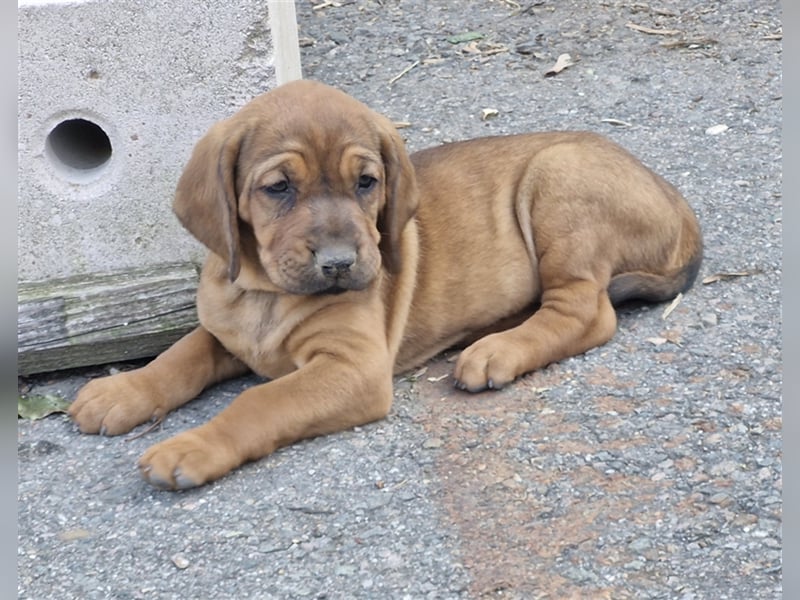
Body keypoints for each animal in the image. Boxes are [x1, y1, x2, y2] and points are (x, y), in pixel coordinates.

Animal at [69, 78, 700, 488]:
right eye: (278, 188)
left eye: (366, 182)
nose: (340, 263)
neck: (264, 294)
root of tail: (677, 200)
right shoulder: (226, 335)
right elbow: (180, 355)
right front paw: (123, 390)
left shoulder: (354, 368)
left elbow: (260, 401)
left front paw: (193, 446)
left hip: (559, 178)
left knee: (587, 312)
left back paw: (496, 350)